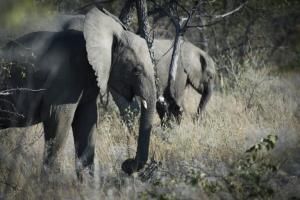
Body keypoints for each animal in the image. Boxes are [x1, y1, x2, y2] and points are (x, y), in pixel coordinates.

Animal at [0, 7, 155, 177]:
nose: (126, 164)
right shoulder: (65, 71)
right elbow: (57, 117)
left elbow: (87, 121)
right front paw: (49, 184)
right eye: (136, 70)